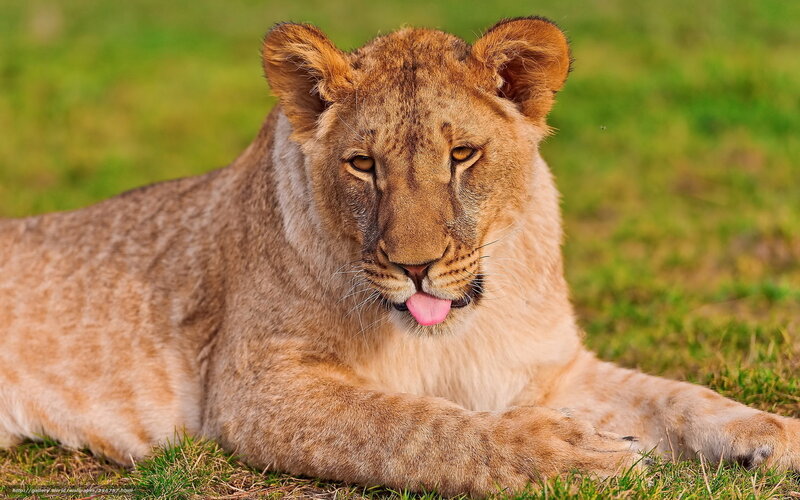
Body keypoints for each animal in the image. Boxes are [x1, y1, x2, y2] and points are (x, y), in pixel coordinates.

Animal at [0, 17, 798, 497]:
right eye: (362, 164)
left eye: (463, 154)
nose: (416, 267)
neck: (459, 327)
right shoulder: (255, 389)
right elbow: (412, 428)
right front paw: (571, 457)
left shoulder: (549, 369)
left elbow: (677, 396)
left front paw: (774, 434)